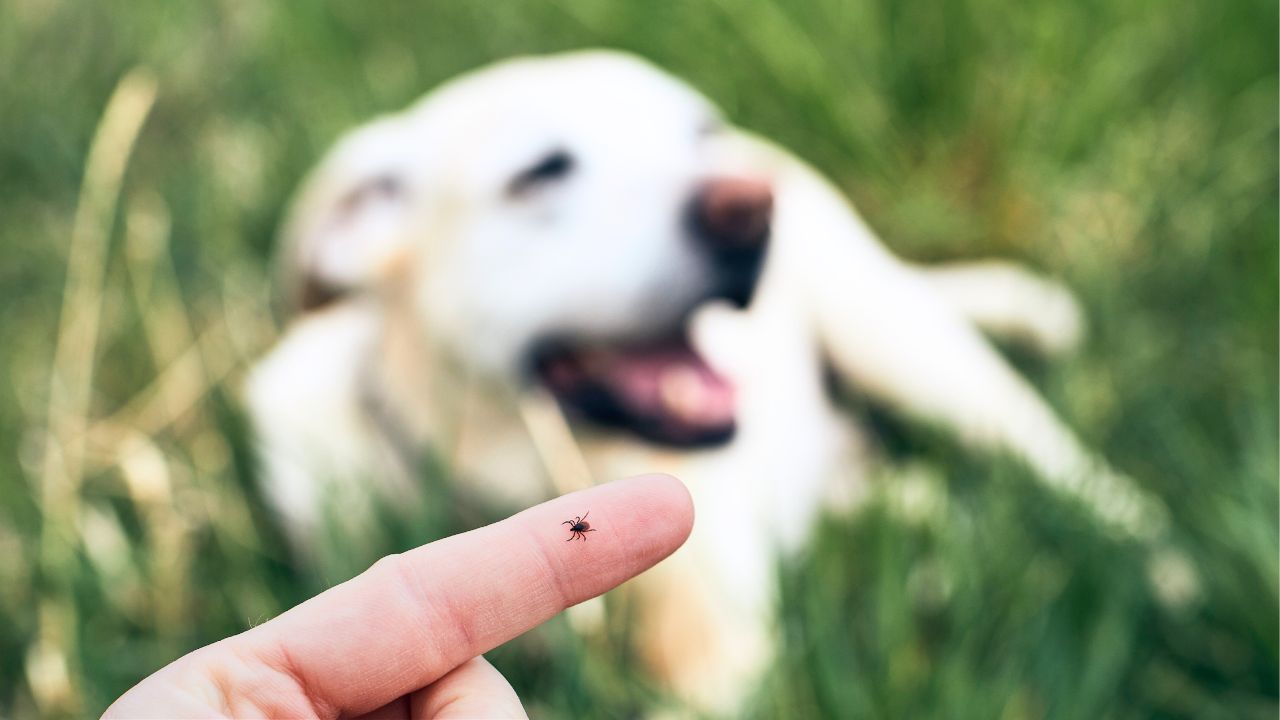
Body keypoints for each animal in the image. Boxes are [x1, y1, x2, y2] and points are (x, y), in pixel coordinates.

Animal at [244, 50, 1167, 712]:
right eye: (541, 172)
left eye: (697, 134)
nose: (751, 208)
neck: (518, 472)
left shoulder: (718, 656)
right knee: (906, 493)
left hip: (905, 346)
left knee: (1072, 473)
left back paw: (1164, 568)